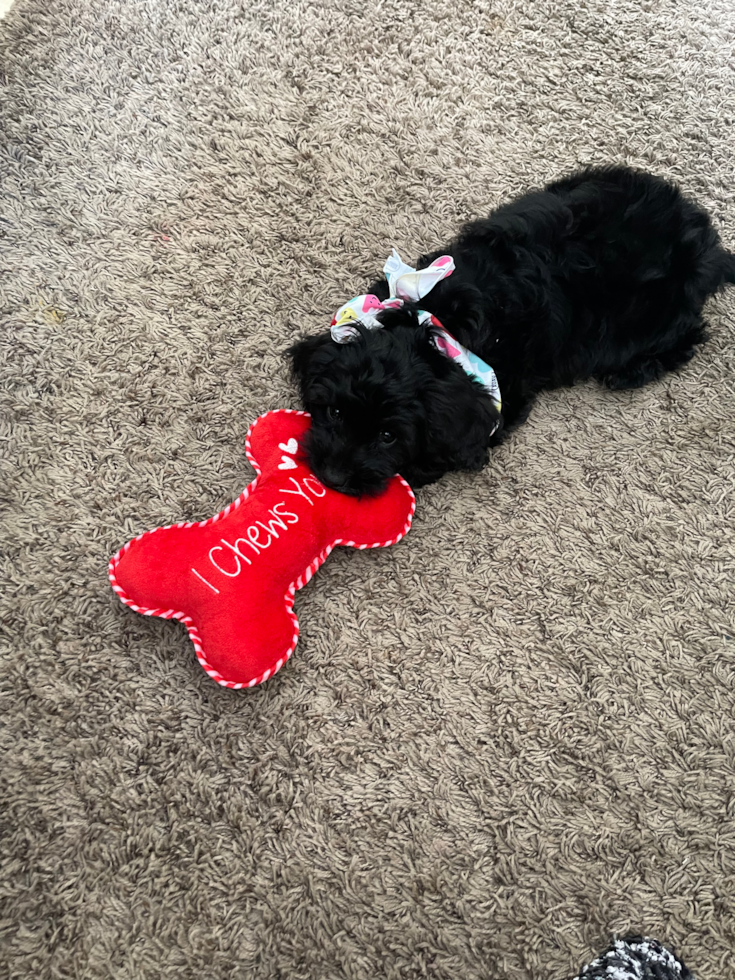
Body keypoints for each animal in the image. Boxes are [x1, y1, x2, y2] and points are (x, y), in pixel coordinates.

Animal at [288, 166, 735, 498]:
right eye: (334, 412)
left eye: (387, 437)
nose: (331, 476)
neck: (435, 321)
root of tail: (711, 247)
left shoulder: (504, 398)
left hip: (655, 318)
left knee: (691, 335)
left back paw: (632, 372)